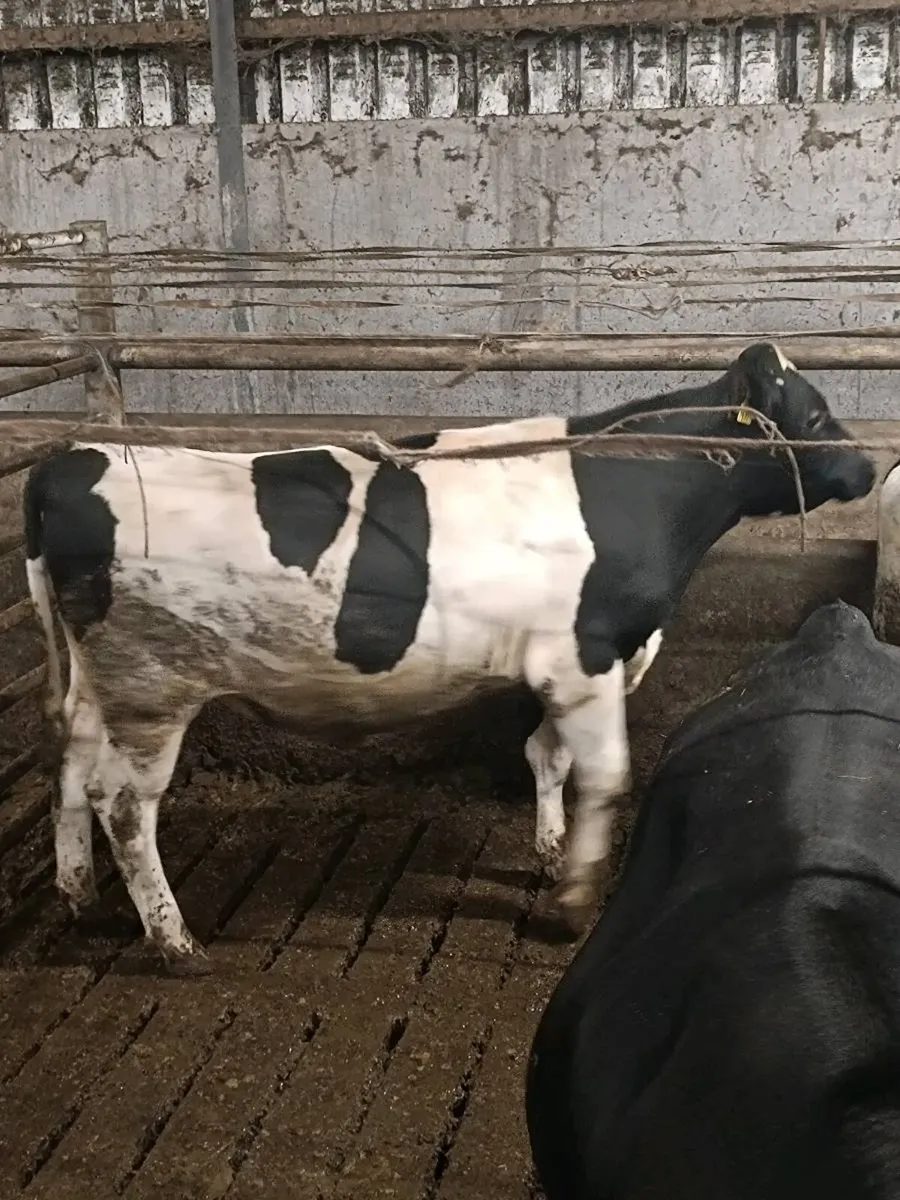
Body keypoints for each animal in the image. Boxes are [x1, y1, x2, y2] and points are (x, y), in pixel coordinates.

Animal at [23, 343, 874, 973]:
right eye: (817, 411)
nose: (869, 464)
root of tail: (74, 460)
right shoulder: (590, 653)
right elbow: (603, 775)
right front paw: (572, 904)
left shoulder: (567, 662)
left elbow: (547, 754)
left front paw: (550, 850)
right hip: (153, 686)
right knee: (123, 805)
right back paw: (175, 942)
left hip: (97, 684)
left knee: (70, 763)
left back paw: (79, 896)